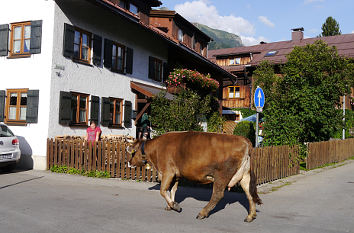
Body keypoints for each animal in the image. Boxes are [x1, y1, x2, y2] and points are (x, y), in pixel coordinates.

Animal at [127, 131, 262, 222]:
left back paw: (202, 213)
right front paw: (170, 205)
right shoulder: (176, 175)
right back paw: (250, 216)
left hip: (221, 175)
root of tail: (243, 139)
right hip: (245, 176)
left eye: (133, 152)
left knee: (217, 195)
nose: (129, 162)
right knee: (249, 194)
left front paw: (174, 206)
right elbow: (172, 190)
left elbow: (162, 190)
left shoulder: (167, 172)